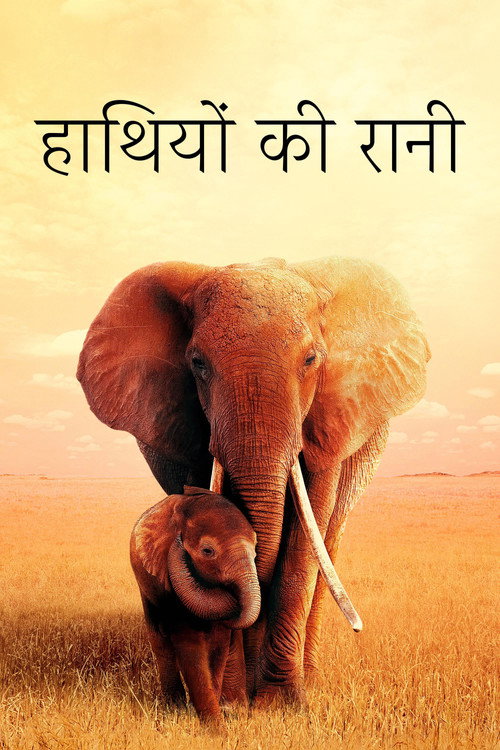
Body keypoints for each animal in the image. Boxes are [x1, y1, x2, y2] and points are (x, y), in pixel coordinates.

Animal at [130, 485, 260, 722]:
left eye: (255, 549)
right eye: (207, 551)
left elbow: (219, 644)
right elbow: (188, 640)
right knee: (160, 641)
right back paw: (173, 706)